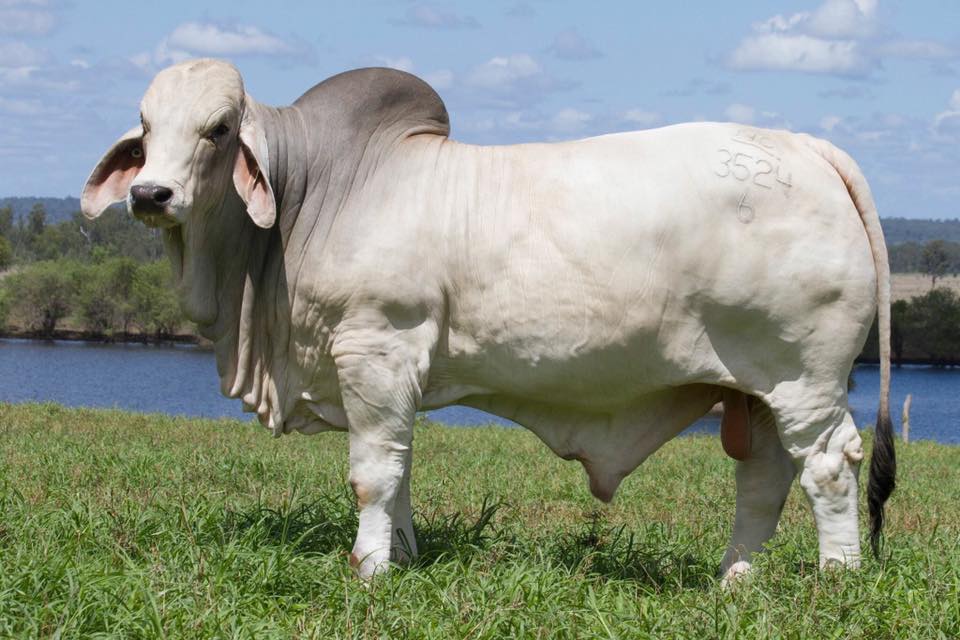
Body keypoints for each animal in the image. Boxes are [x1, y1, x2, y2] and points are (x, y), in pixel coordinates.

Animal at [80, 58, 892, 580]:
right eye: (147, 126)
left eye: (218, 128)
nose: (150, 194)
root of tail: (810, 148)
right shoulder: (390, 378)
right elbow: (401, 468)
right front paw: (404, 556)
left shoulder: (375, 349)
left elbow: (373, 473)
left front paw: (369, 569)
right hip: (754, 392)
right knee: (763, 481)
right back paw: (735, 581)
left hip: (806, 380)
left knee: (829, 467)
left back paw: (836, 581)